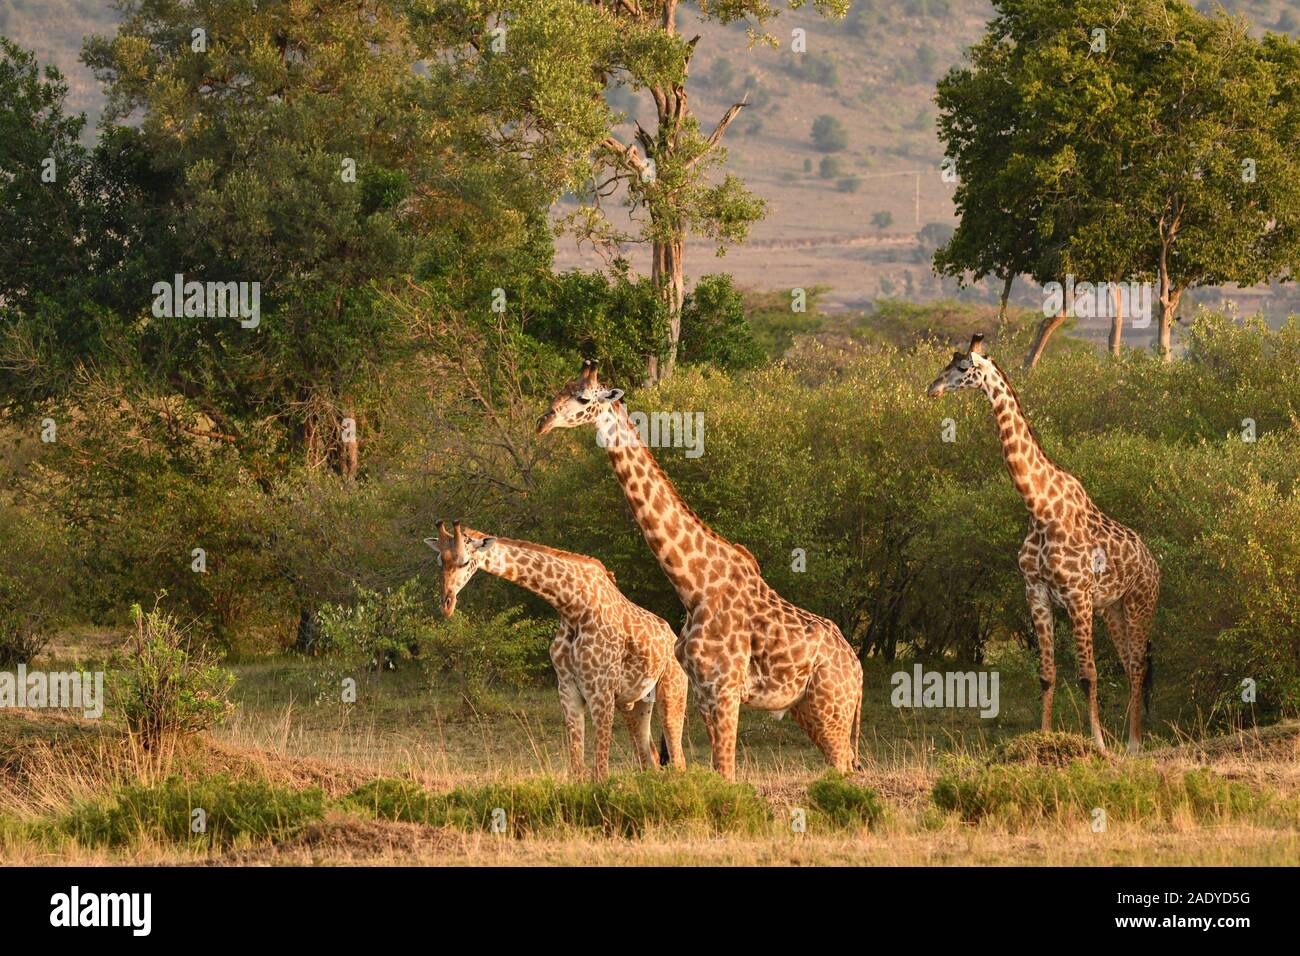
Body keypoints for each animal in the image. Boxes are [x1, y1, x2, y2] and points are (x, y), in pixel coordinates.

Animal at [427, 520, 686, 780]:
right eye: (440, 562)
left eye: (464, 561)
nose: (446, 604)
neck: (572, 607)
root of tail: (674, 636)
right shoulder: (568, 690)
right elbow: (578, 769)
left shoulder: (600, 691)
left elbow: (600, 772)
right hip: (634, 702)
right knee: (650, 758)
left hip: (672, 692)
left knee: (678, 759)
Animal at [537, 361, 863, 779]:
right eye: (558, 391)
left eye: (581, 398)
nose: (543, 421)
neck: (693, 584)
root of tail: (857, 670)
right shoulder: (705, 695)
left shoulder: (724, 690)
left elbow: (726, 773)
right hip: (808, 710)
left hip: (830, 709)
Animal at [926, 334, 1160, 752]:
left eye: (962, 367)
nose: (931, 388)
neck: (1040, 509)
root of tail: (1155, 563)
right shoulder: (1035, 592)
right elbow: (1047, 674)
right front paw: (1044, 739)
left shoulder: (1078, 596)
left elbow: (1087, 674)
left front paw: (1099, 746)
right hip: (1113, 609)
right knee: (1128, 662)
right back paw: (1130, 741)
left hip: (1139, 603)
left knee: (1137, 666)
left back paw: (1133, 745)